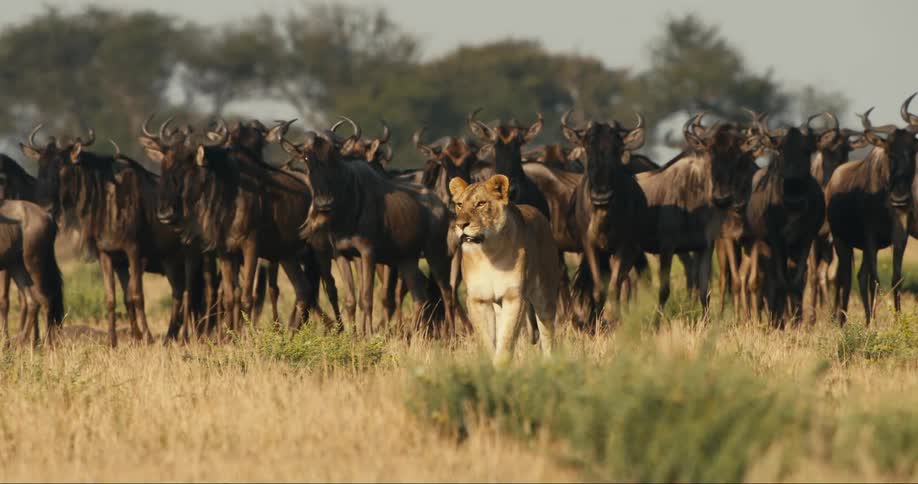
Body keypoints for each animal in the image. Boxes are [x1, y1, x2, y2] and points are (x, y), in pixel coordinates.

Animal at [448, 174, 560, 364]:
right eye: (460, 204)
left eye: (481, 204)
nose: (460, 225)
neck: (488, 253)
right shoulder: (478, 299)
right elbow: (487, 342)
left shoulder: (514, 297)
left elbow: (506, 341)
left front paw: (501, 368)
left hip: (545, 297)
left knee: (547, 337)